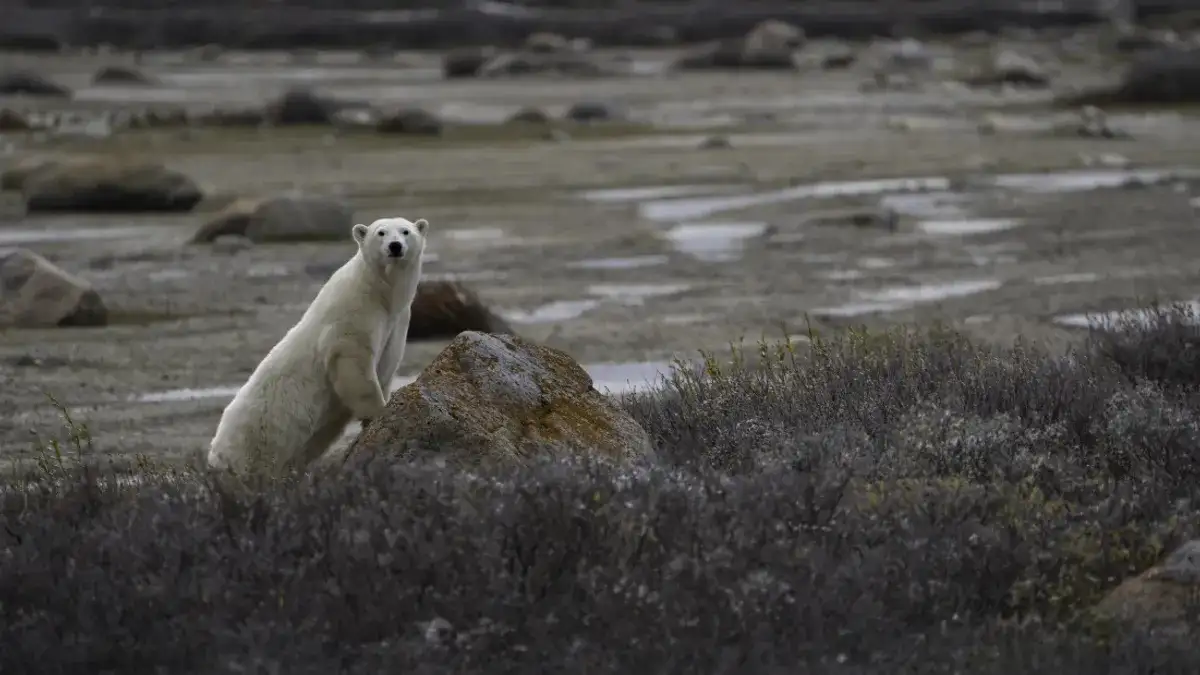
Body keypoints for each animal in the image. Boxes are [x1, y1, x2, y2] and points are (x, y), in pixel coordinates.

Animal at [207, 214, 432, 473]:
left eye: (405, 231)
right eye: (381, 232)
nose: (395, 247)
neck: (380, 291)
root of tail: (215, 455)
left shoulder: (397, 321)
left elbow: (385, 365)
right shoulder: (353, 311)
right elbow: (353, 360)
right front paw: (380, 412)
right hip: (253, 440)